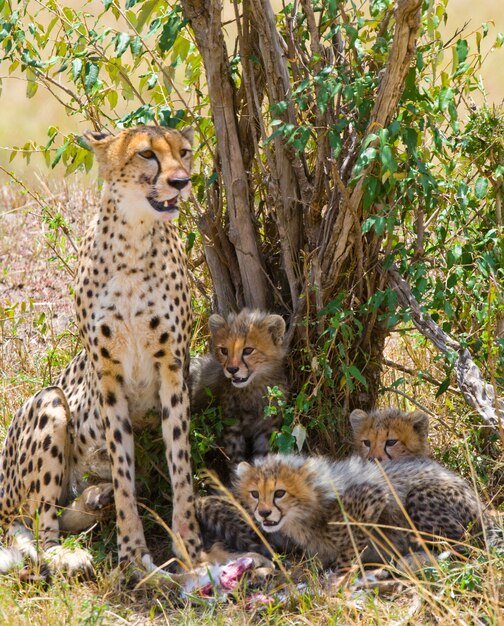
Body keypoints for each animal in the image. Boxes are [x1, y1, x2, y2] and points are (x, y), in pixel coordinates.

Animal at [1, 124, 203, 576]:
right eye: (147, 154)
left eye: (184, 152)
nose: (182, 181)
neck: (134, 242)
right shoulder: (108, 375)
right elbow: (123, 467)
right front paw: (132, 554)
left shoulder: (173, 368)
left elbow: (181, 464)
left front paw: (191, 548)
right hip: (49, 401)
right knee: (34, 524)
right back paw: (65, 551)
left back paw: (95, 499)